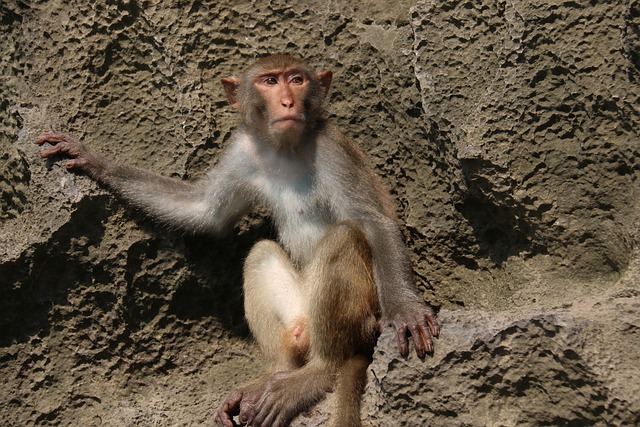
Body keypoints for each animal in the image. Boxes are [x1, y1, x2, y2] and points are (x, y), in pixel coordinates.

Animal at [36, 54, 440, 427]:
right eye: (269, 81)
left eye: (296, 79)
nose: (287, 102)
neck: (285, 148)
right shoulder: (243, 151)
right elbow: (203, 211)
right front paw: (93, 161)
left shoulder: (331, 149)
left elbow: (372, 222)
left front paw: (406, 310)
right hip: (300, 313)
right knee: (261, 253)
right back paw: (276, 373)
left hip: (365, 317)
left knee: (343, 238)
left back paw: (318, 372)